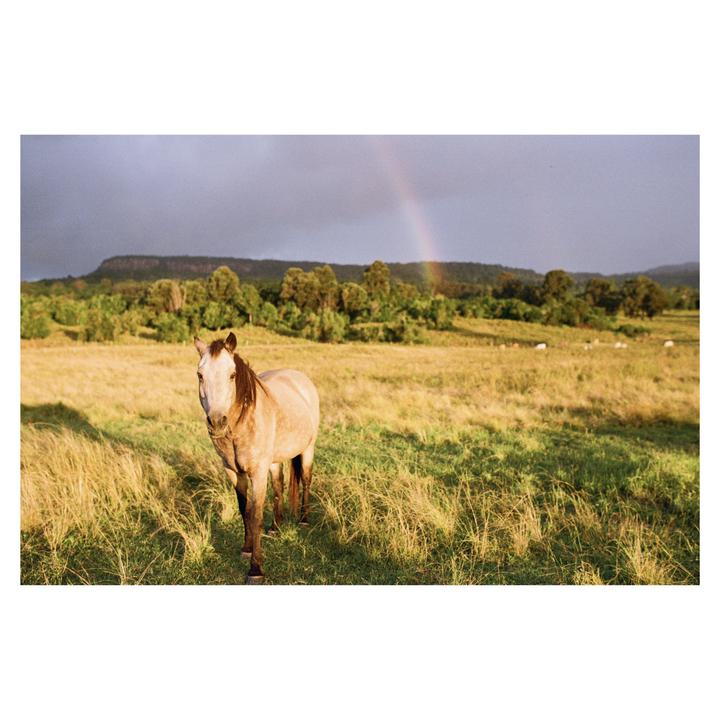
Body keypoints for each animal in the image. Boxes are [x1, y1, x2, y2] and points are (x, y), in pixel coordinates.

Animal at [194, 332, 320, 584]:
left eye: (232, 375)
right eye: (200, 375)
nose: (217, 422)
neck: (240, 425)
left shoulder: (258, 473)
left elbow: (256, 515)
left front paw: (256, 569)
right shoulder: (233, 472)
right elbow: (245, 510)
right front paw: (246, 548)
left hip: (307, 449)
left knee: (306, 480)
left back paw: (303, 519)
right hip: (274, 461)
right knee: (279, 487)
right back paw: (276, 527)